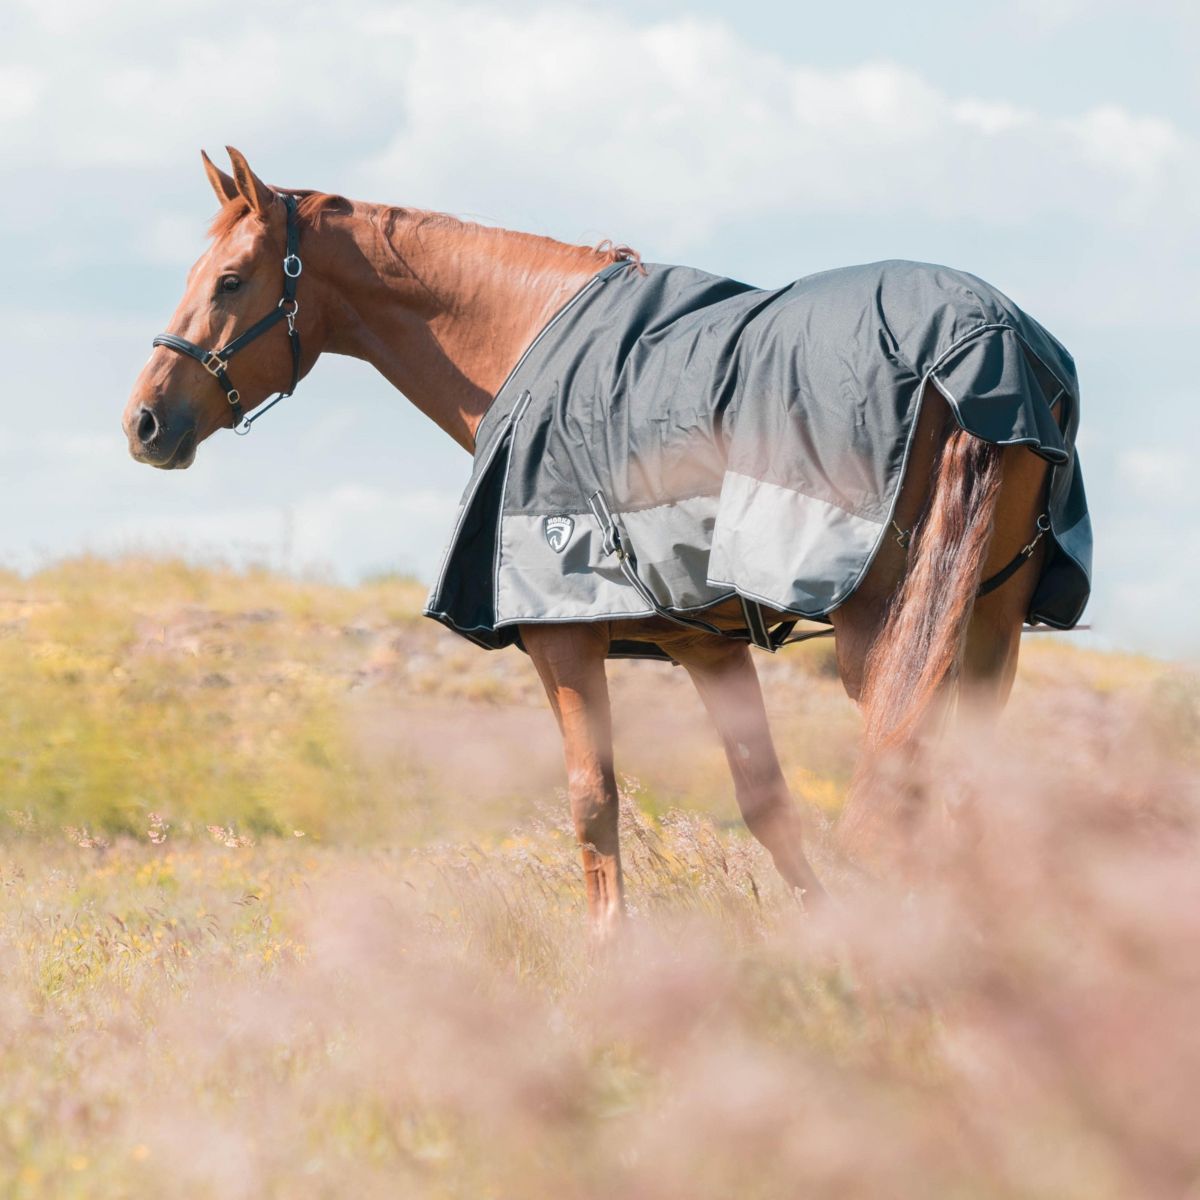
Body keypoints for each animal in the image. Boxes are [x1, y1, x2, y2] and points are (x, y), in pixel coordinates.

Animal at [121, 150, 1089, 931]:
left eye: (232, 281)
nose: (145, 424)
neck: (528, 336)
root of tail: (990, 347)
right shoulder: (705, 646)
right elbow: (765, 802)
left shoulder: (563, 637)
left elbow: (593, 803)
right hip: (985, 630)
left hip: (881, 632)